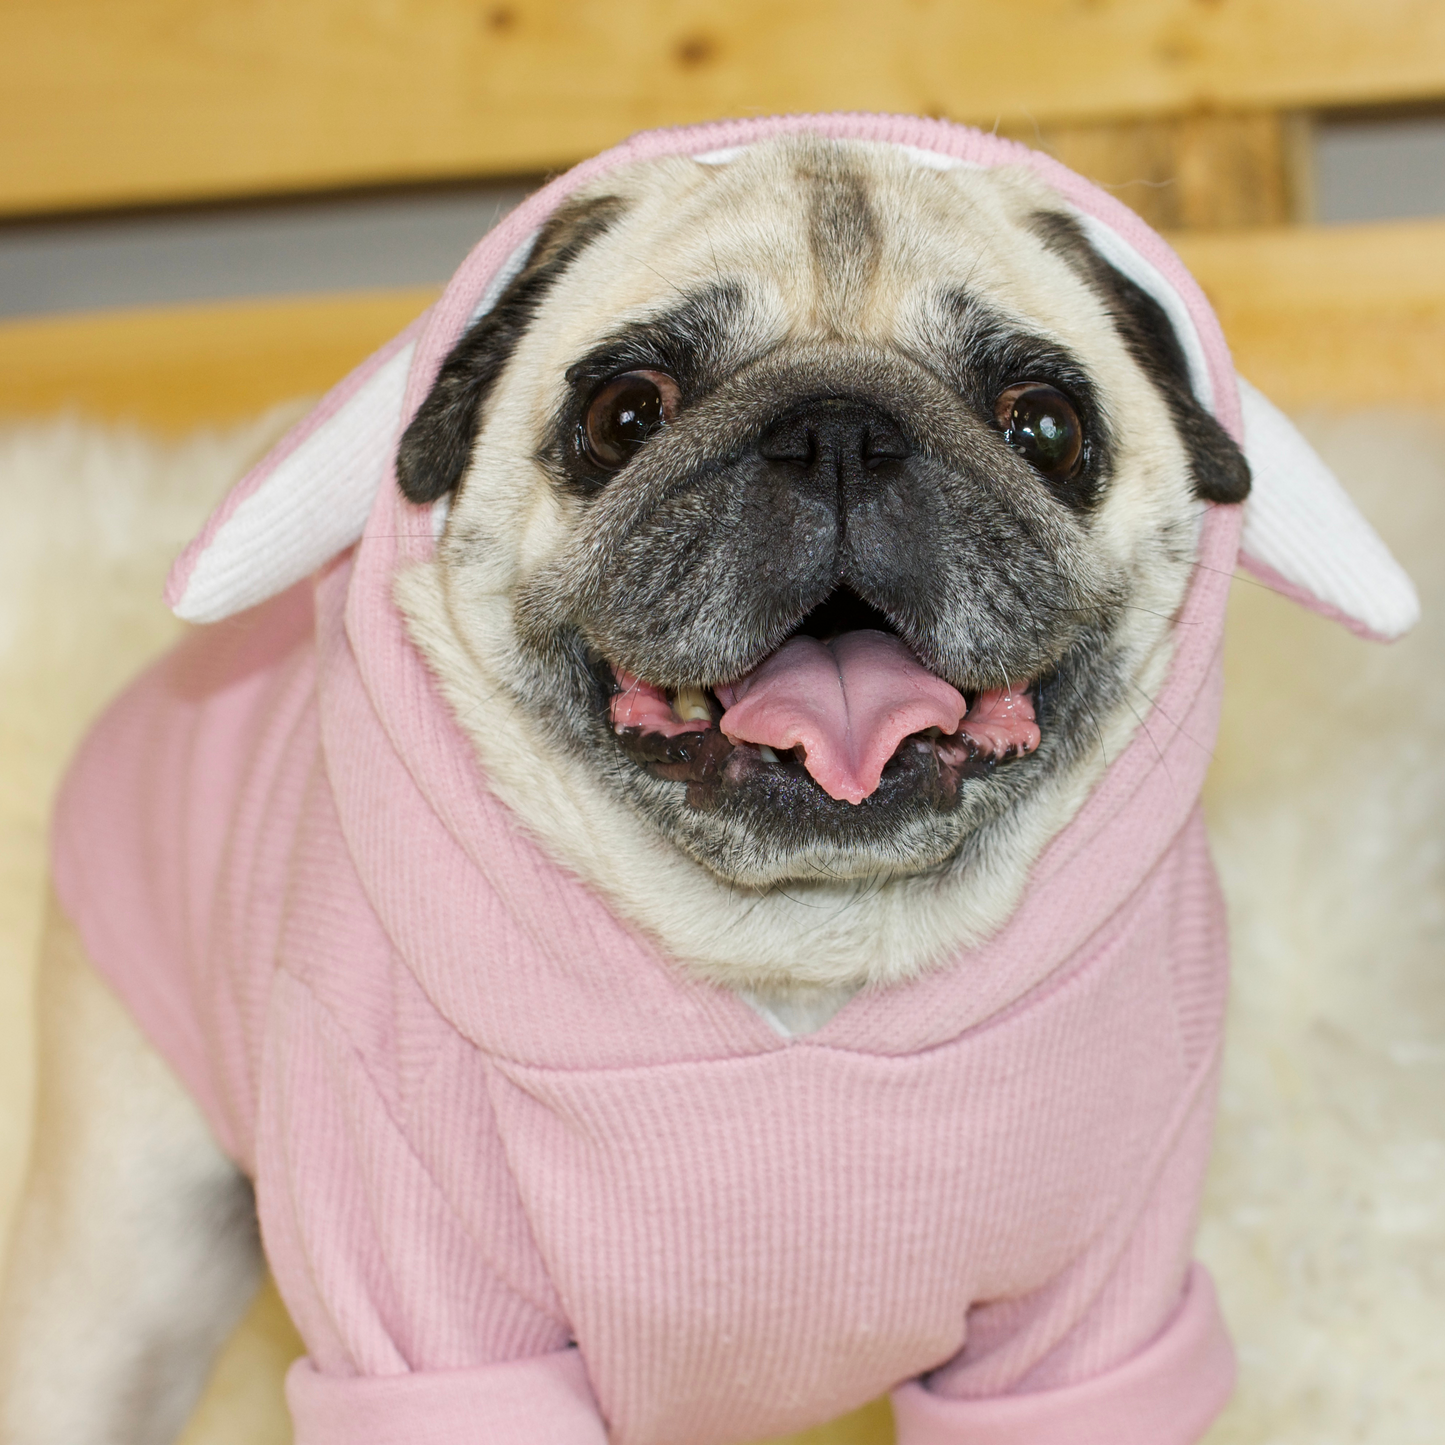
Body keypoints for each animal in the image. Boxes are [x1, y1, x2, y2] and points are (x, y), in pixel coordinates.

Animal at [0, 127, 1254, 1445]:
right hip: (120, 1263)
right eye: (622, 413)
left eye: (1044, 428)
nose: (841, 430)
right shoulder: (428, 1326)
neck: (799, 951)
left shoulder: (1086, 1319)